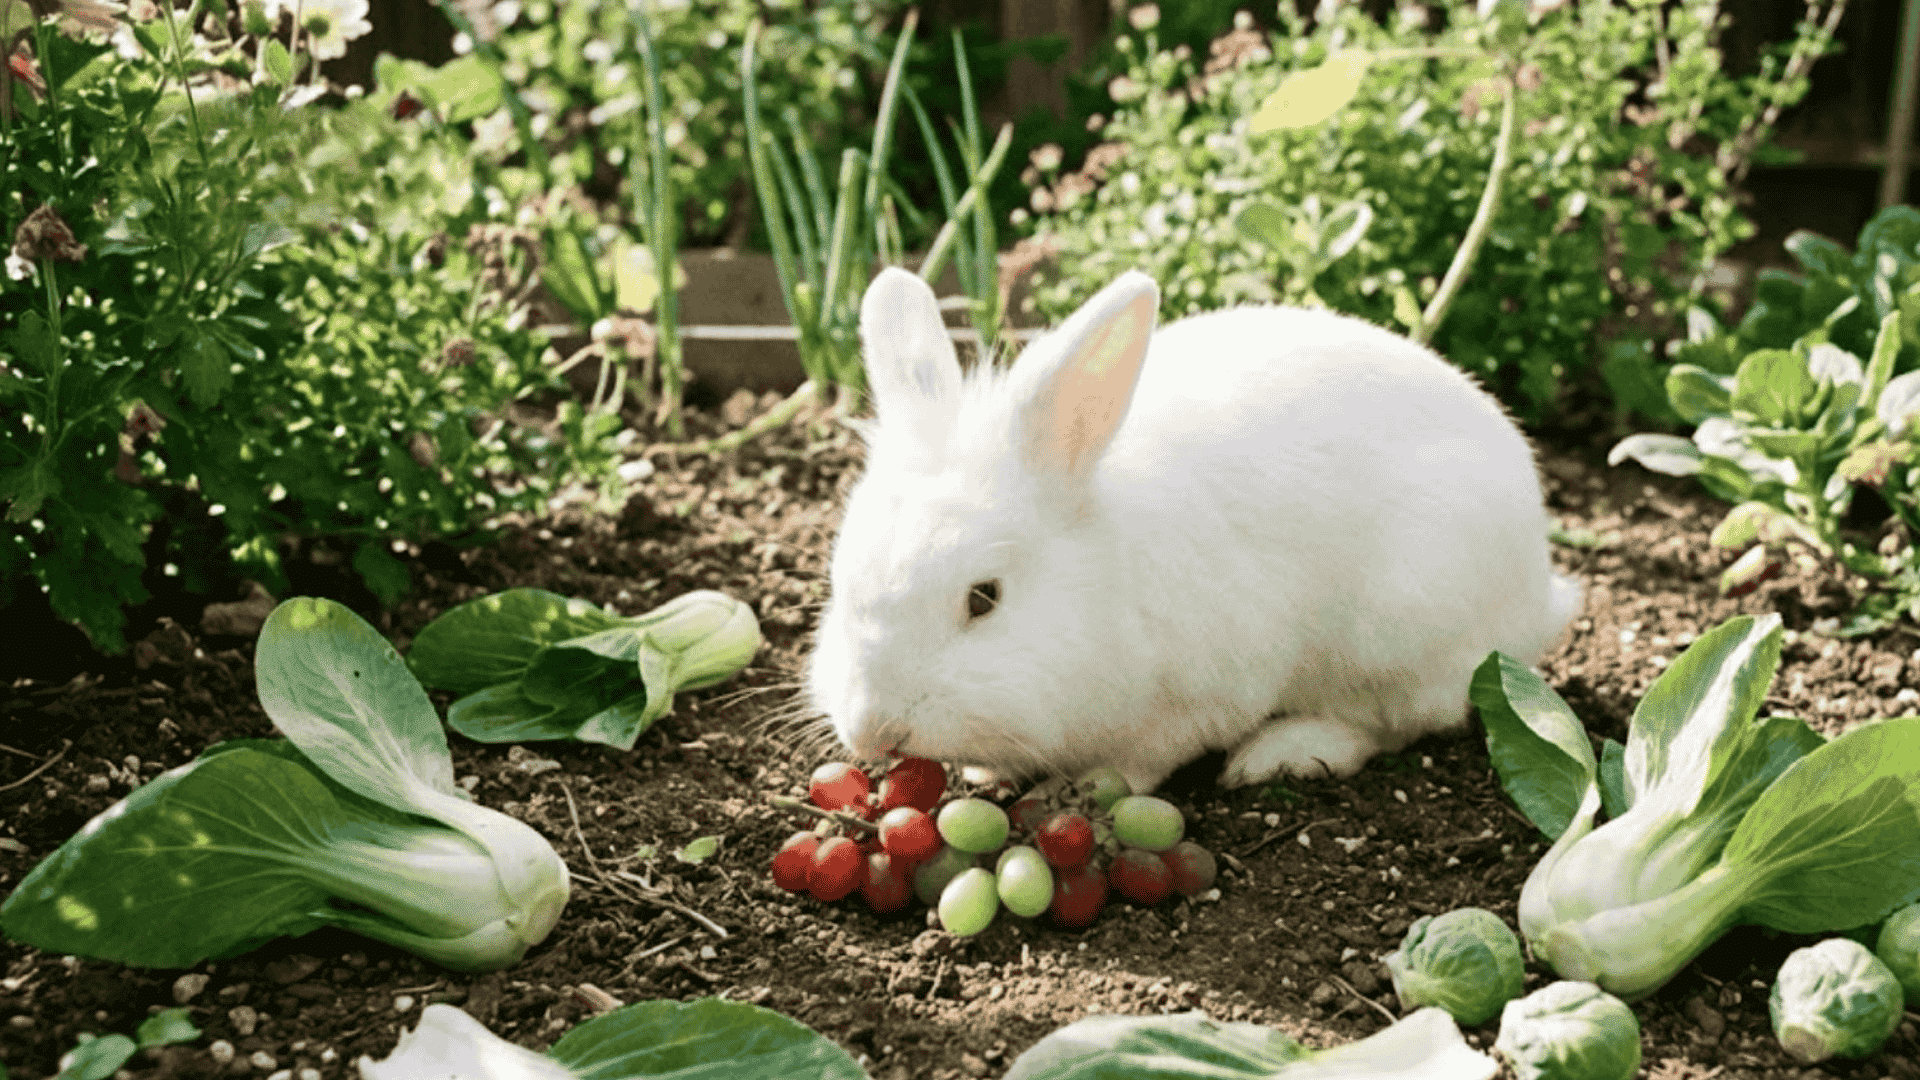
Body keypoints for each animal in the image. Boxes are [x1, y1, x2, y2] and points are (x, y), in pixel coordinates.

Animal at [805, 266, 1583, 796]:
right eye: (840, 586)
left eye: (984, 598)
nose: (874, 730)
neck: (1103, 583)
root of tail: (1537, 595)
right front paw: (982, 773)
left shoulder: (1198, 700)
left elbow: (1142, 759)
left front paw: (1077, 790)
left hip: (1398, 631)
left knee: (1394, 720)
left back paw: (1283, 753)